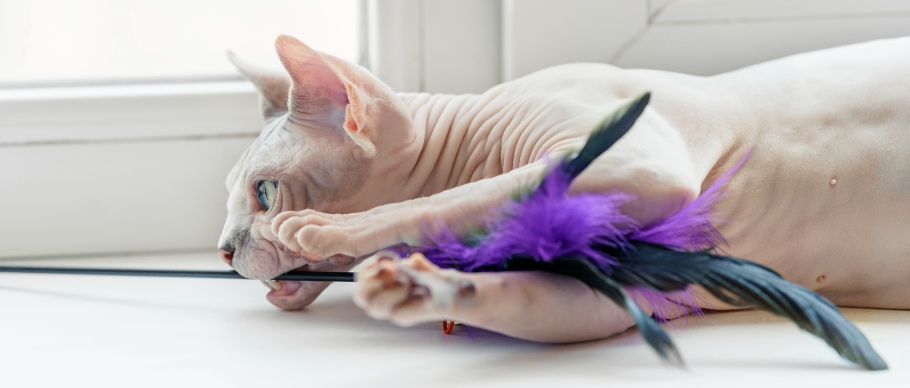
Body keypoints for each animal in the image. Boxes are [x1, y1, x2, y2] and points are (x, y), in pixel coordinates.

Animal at [221, 34, 910, 342]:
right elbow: (555, 305)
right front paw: (430, 287)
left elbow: (450, 197)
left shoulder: (634, 161)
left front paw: (336, 229)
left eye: (263, 194)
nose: (224, 251)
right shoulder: (641, 276)